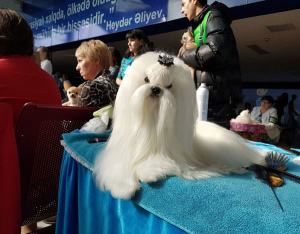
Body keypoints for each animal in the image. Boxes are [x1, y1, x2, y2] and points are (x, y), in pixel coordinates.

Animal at [93, 51, 264, 199]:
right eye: (146, 79)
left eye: (169, 86)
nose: (156, 89)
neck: (152, 119)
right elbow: (117, 168)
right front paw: (123, 189)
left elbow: (157, 162)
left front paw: (149, 172)